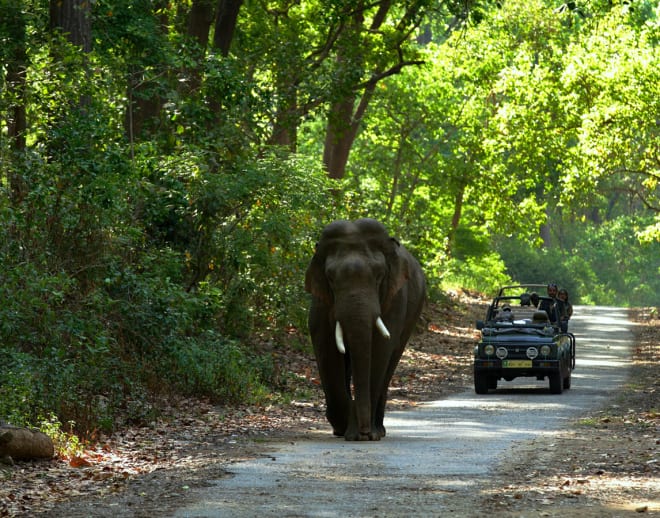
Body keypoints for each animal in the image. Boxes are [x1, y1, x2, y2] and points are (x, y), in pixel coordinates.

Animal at [306, 219, 428, 442]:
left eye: (379, 275)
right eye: (330, 277)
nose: (363, 432)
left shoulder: (395, 298)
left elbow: (380, 349)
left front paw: (365, 434)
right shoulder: (320, 301)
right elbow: (326, 347)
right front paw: (346, 428)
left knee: (391, 361)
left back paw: (379, 429)